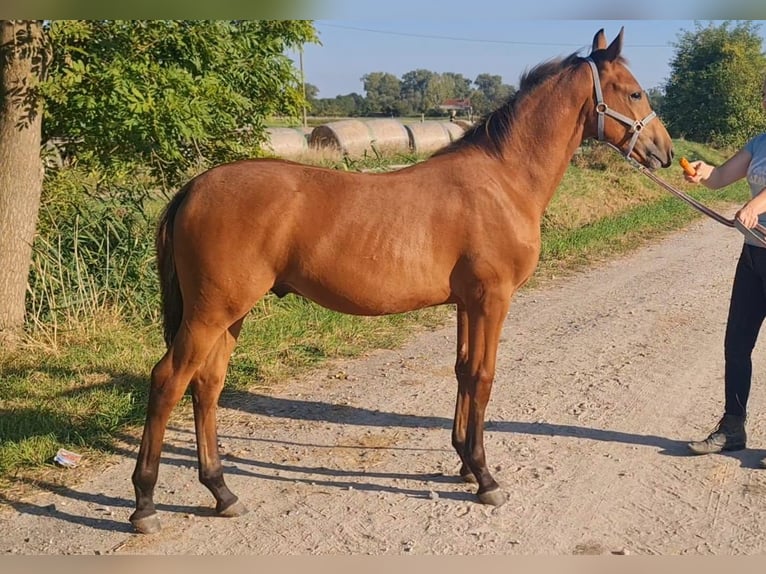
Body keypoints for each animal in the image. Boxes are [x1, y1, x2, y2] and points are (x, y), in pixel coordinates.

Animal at [130, 28, 672, 536]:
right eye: (635, 92)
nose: (665, 152)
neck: (503, 180)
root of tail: (195, 186)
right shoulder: (492, 300)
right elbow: (484, 376)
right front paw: (485, 478)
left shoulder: (466, 303)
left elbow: (463, 372)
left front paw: (463, 464)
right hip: (210, 313)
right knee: (168, 382)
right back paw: (145, 504)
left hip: (231, 314)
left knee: (207, 386)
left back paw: (222, 491)